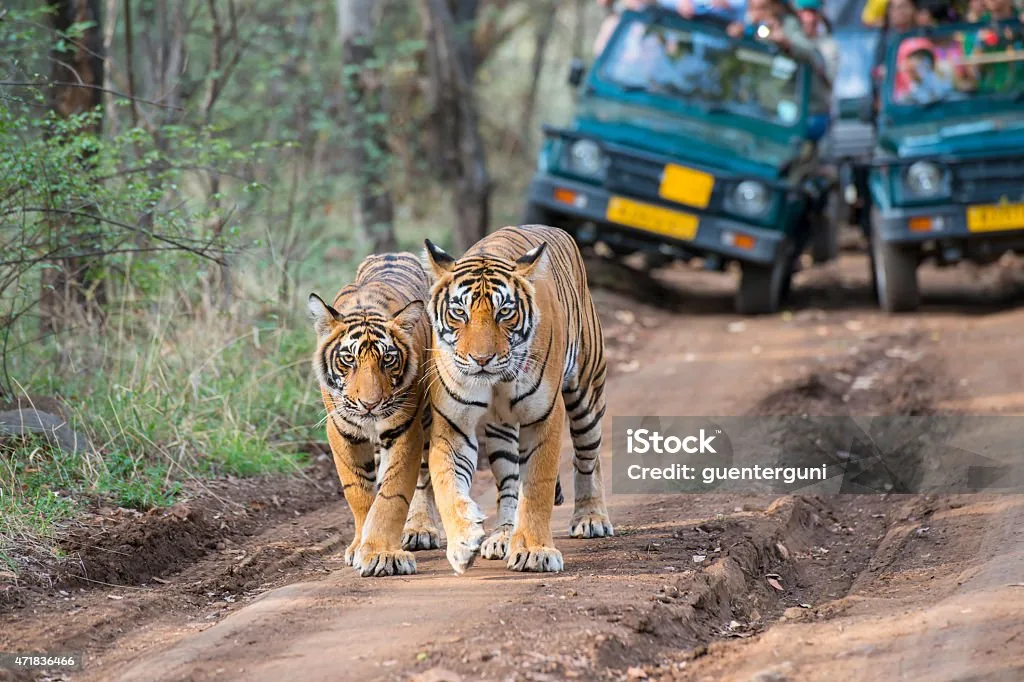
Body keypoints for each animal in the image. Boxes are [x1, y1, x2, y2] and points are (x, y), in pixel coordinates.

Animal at [308, 252, 441, 577]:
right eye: (348, 359)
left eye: (388, 359)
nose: (369, 404)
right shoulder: (342, 432)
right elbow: (359, 492)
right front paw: (360, 547)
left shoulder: (406, 430)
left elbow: (393, 495)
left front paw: (382, 554)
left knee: (422, 476)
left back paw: (420, 529)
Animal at [423, 224, 613, 574]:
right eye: (459, 312)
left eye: (504, 313)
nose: (481, 359)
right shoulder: (453, 426)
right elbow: (447, 484)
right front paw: (464, 542)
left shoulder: (544, 417)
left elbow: (537, 486)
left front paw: (534, 552)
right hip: (501, 430)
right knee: (509, 483)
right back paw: (502, 536)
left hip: (587, 395)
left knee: (587, 458)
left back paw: (591, 518)